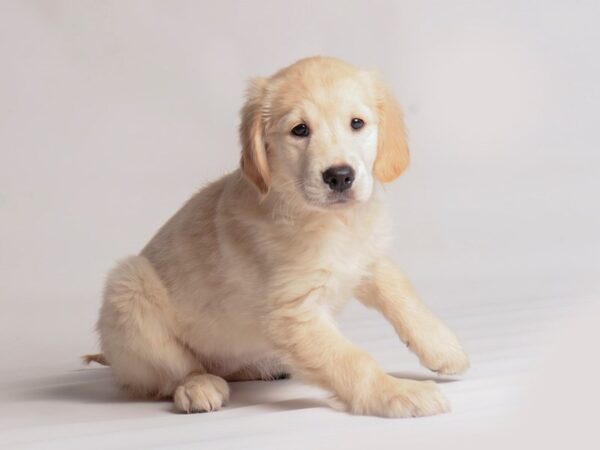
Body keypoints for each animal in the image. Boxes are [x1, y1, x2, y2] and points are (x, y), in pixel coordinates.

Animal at [88, 57, 468, 418]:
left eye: (357, 123)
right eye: (300, 130)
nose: (340, 176)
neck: (332, 222)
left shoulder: (365, 258)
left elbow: (401, 291)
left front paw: (444, 347)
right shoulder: (292, 314)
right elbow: (350, 360)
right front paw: (396, 392)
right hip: (129, 288)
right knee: (176, 370)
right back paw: (198, 387)